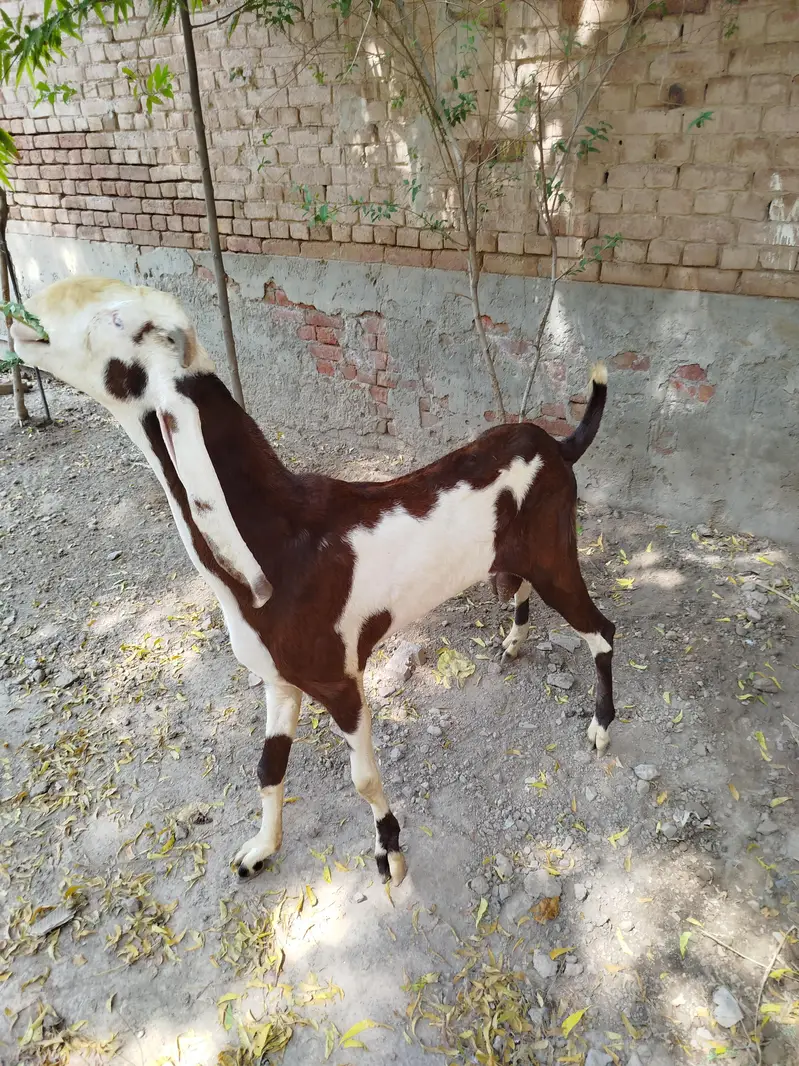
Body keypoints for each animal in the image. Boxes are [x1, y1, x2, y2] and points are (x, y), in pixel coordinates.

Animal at [12, 275, 616, 886]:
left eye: (118, 320)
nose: (23, 314)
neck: (280, 541)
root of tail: (557, 446)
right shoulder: (279, 682)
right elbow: (267, 767)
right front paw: (261, 849)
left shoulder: (340, 681)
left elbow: (363, 779)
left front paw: (390, 854)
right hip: (517, 559)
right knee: (518, 590)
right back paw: (514, 643)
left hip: (555, 557)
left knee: (601, 630)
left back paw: (601, 726)